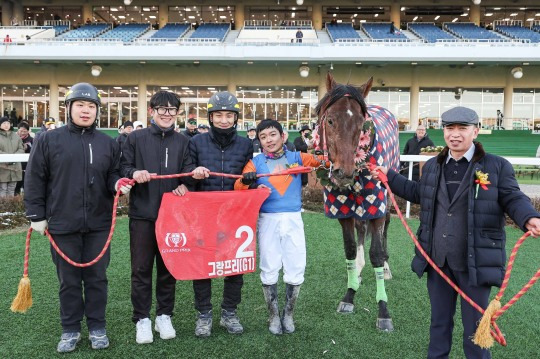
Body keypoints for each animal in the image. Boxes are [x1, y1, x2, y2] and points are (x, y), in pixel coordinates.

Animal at [314, 72, 398, 332]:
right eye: (330, 120)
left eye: (362, 125)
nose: (345, 173)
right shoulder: (340, 207)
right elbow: (350, 248)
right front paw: (349, 295)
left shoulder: (376, 202)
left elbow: (377, 253)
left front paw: (383, 311)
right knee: (362, 227)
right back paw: (359, 271)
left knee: (385, 227)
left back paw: (386, 269)